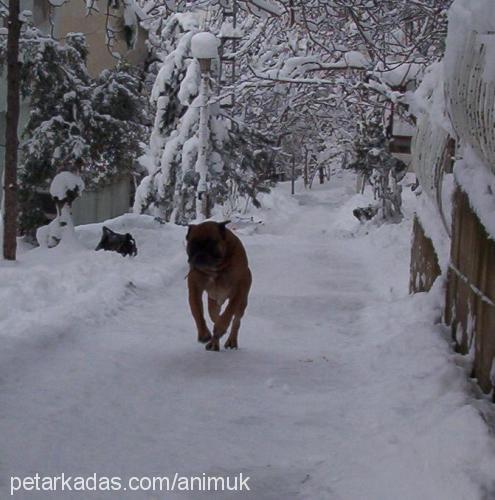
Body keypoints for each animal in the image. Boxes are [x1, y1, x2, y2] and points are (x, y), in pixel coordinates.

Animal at [188, 219, 254, 352]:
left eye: (211, 244)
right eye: (192, 244)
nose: (200, 253)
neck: (217, 268)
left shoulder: (239, 288)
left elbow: (229, 311)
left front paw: (221, 327)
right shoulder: (194, 286)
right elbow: (196, 310)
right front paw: (203, 333)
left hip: (242, 302)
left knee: (236, 320)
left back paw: (231, 340)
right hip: (213, 303)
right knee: (215, 316)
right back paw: (214, 342)